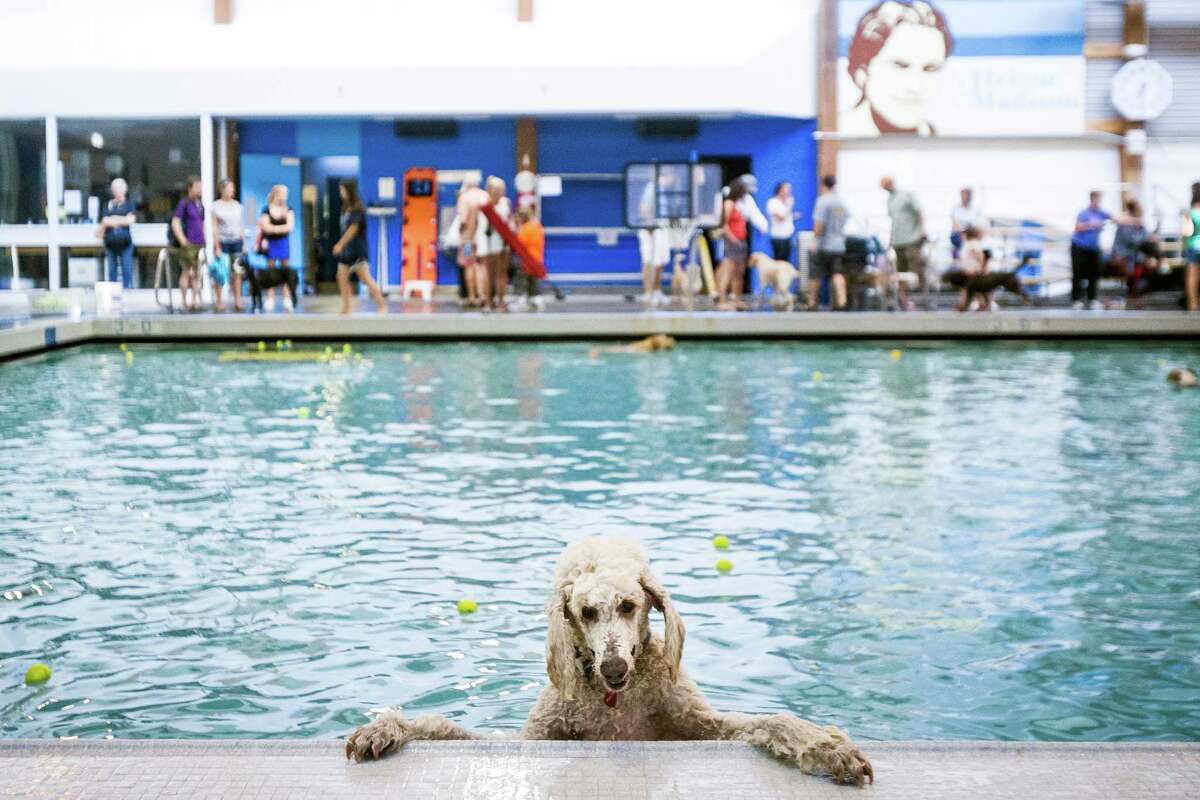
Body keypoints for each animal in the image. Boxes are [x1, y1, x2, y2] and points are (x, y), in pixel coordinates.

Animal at [348, 537, 873, 786]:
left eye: (628, 605)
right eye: (585, 612)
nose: (614, 670)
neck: (615, 706)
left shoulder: (701, 726)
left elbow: (773, 722)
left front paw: (828, 747)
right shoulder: (535, 740)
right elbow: (441, 726)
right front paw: (387, 727)